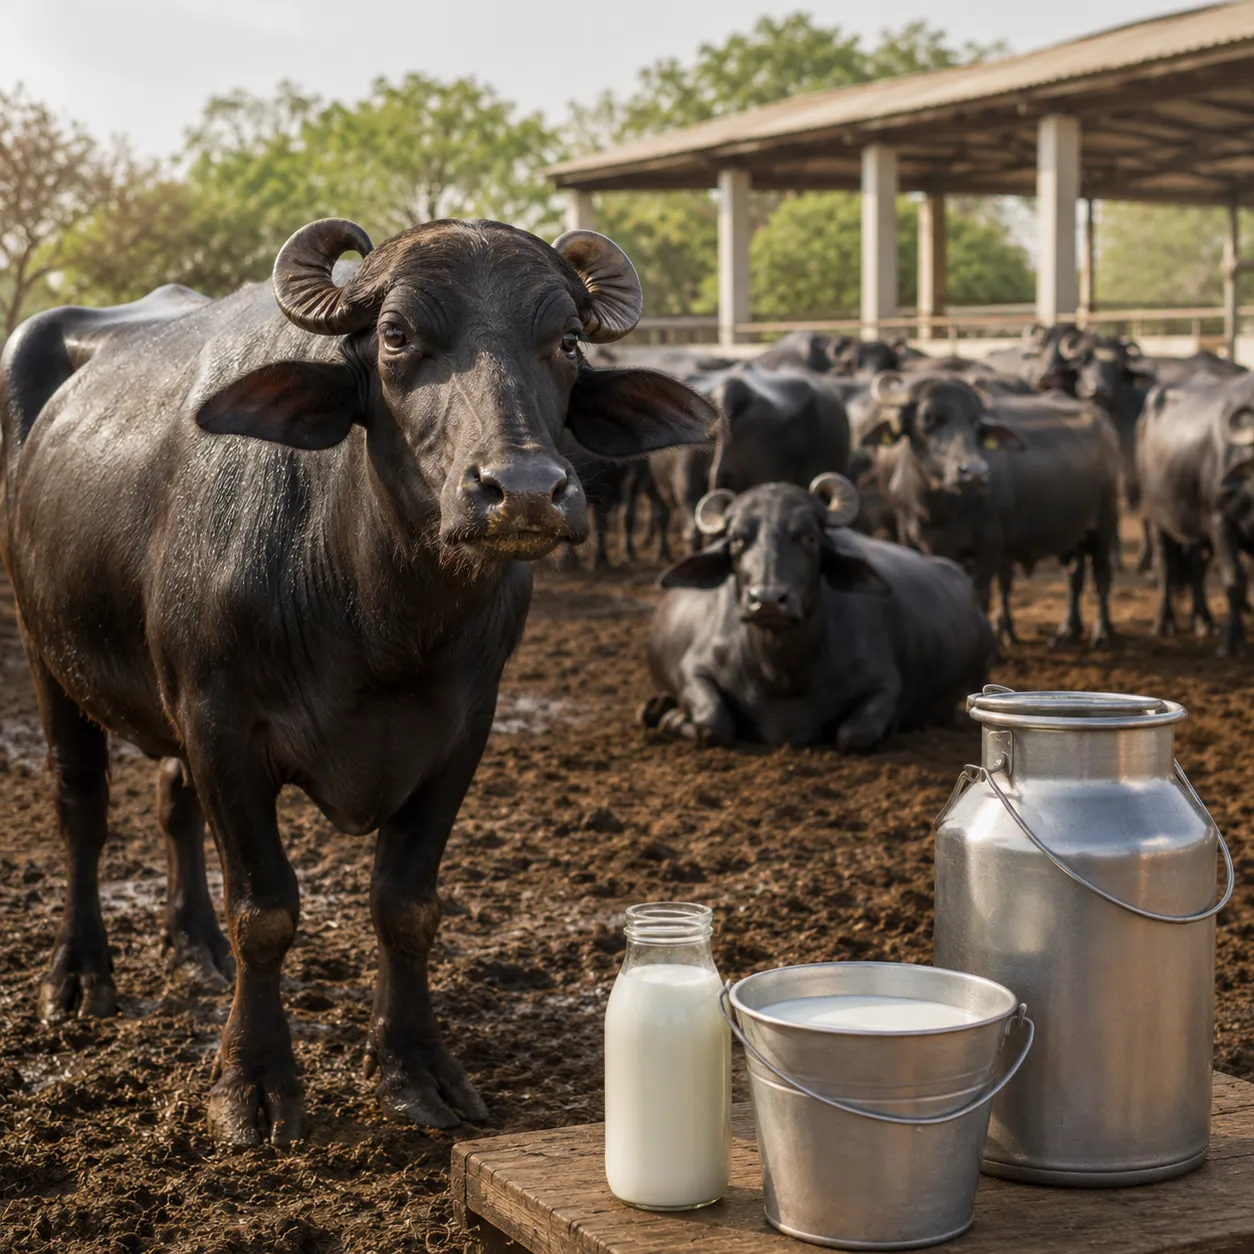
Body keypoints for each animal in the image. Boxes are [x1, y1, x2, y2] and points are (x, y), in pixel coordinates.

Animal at [0, 218, 716, 1144]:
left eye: (564, 339)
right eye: (397, 334)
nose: (524, 492)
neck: (376, 620)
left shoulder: (460, 732)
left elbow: (405, 905)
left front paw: (416, 1070)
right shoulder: (223, 728)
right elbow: (265, 909)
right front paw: (253, 1084)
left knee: (170, 802)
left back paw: (194, 946)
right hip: (46, 649)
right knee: (81, 807)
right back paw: (81, 977)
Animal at [641, 476, 994, 750]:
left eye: (809, 537)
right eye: (737, 539)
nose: (768, 600)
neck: (782, 673)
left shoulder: (886, 685)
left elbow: (855, 734)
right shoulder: (693, 669)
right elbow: (714, 724)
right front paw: (670, 717)